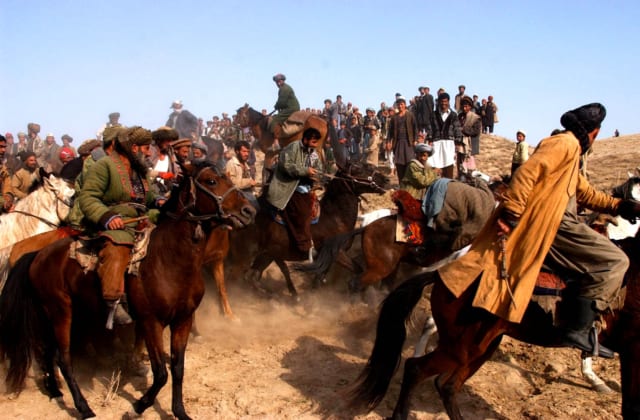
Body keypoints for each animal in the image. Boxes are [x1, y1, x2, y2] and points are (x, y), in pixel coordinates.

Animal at [0, 162, 255, 420]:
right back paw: (83, 407)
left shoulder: (183, 320)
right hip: (60, 312)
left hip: (53, 313)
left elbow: (178, 368)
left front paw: (180, 411)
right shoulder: (151, 322)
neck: (170, 259)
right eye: (212, 181)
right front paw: (137, 406)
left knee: (47, 351)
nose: (249, 211)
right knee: (63, 358)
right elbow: (161, 373)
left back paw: (55, 390)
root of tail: (36, 254)